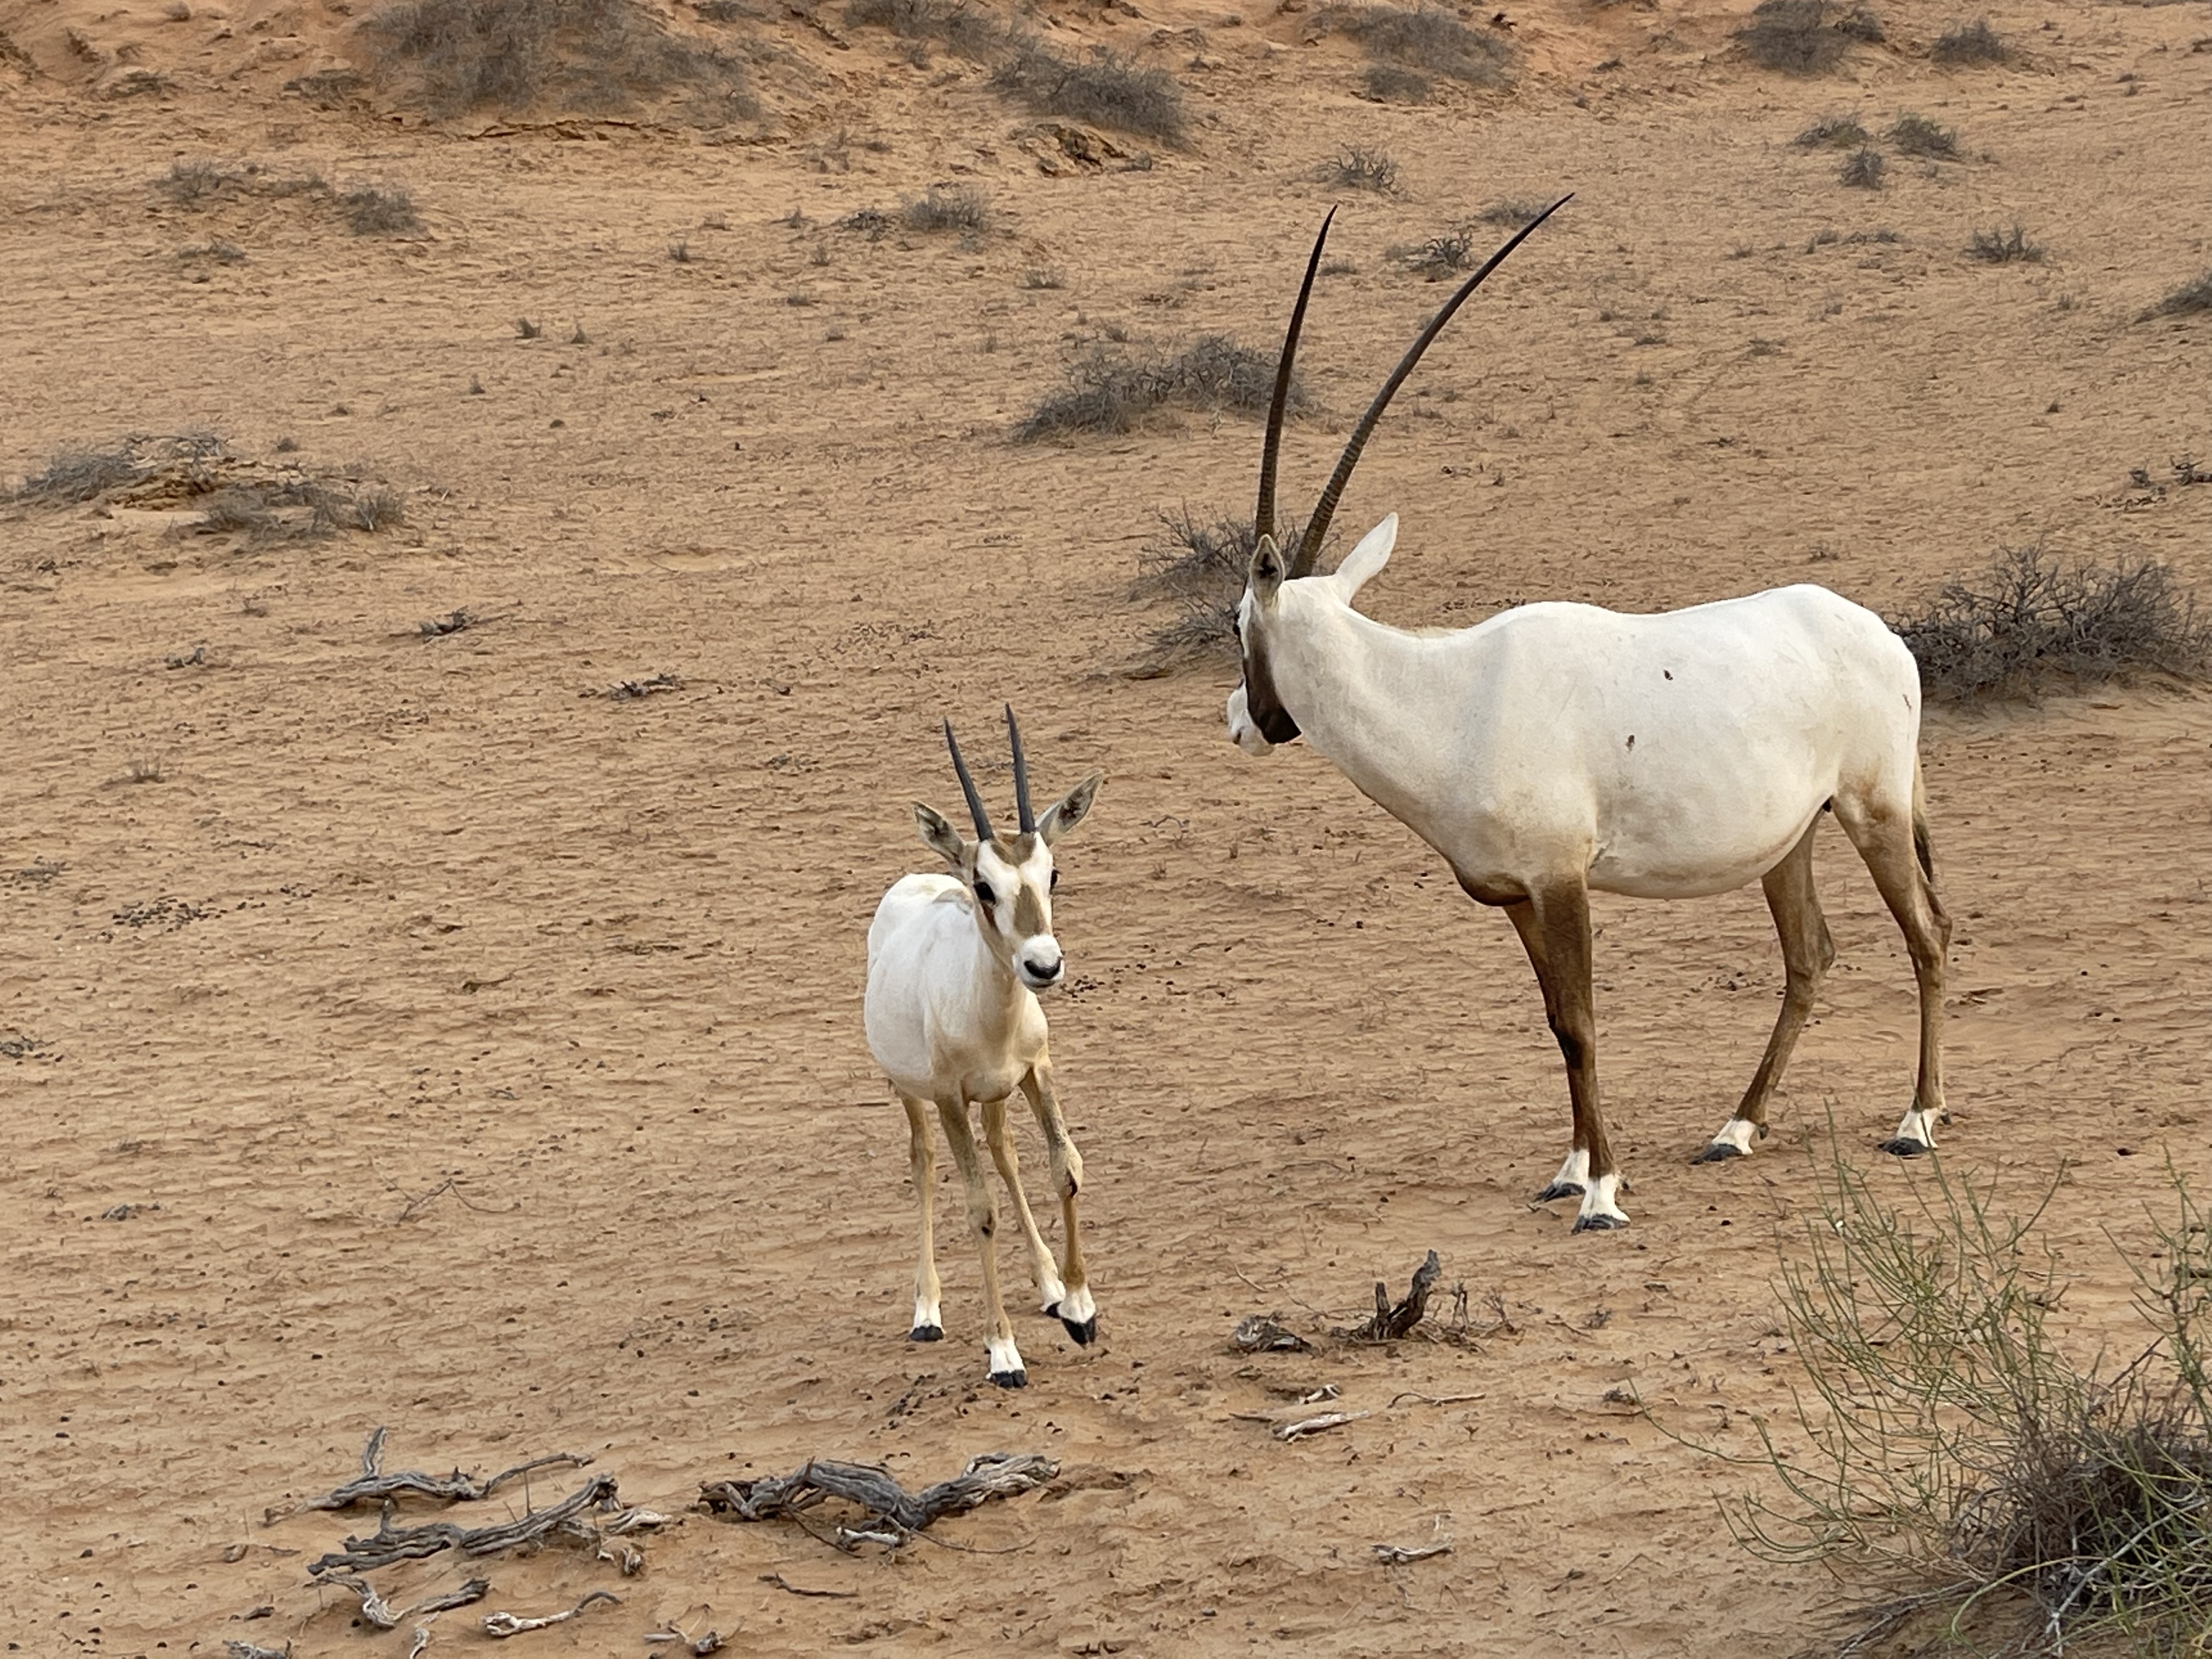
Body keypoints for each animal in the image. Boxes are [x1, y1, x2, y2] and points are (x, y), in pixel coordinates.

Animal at [862, 712, 1106, 1389]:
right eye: (983, 886)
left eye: (1051, 875)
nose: (1043, 966)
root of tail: (917, 877)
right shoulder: (949, 1098)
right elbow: (980, 1209)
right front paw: (1003, 1352)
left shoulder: (1036, 1072)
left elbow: (1064, 1167)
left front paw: (1079, 1309)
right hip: (912, 1093)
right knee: (922, 1162)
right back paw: (927, 1311)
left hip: (996, 1095)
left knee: (1005, 1155)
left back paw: (1049, 1285)